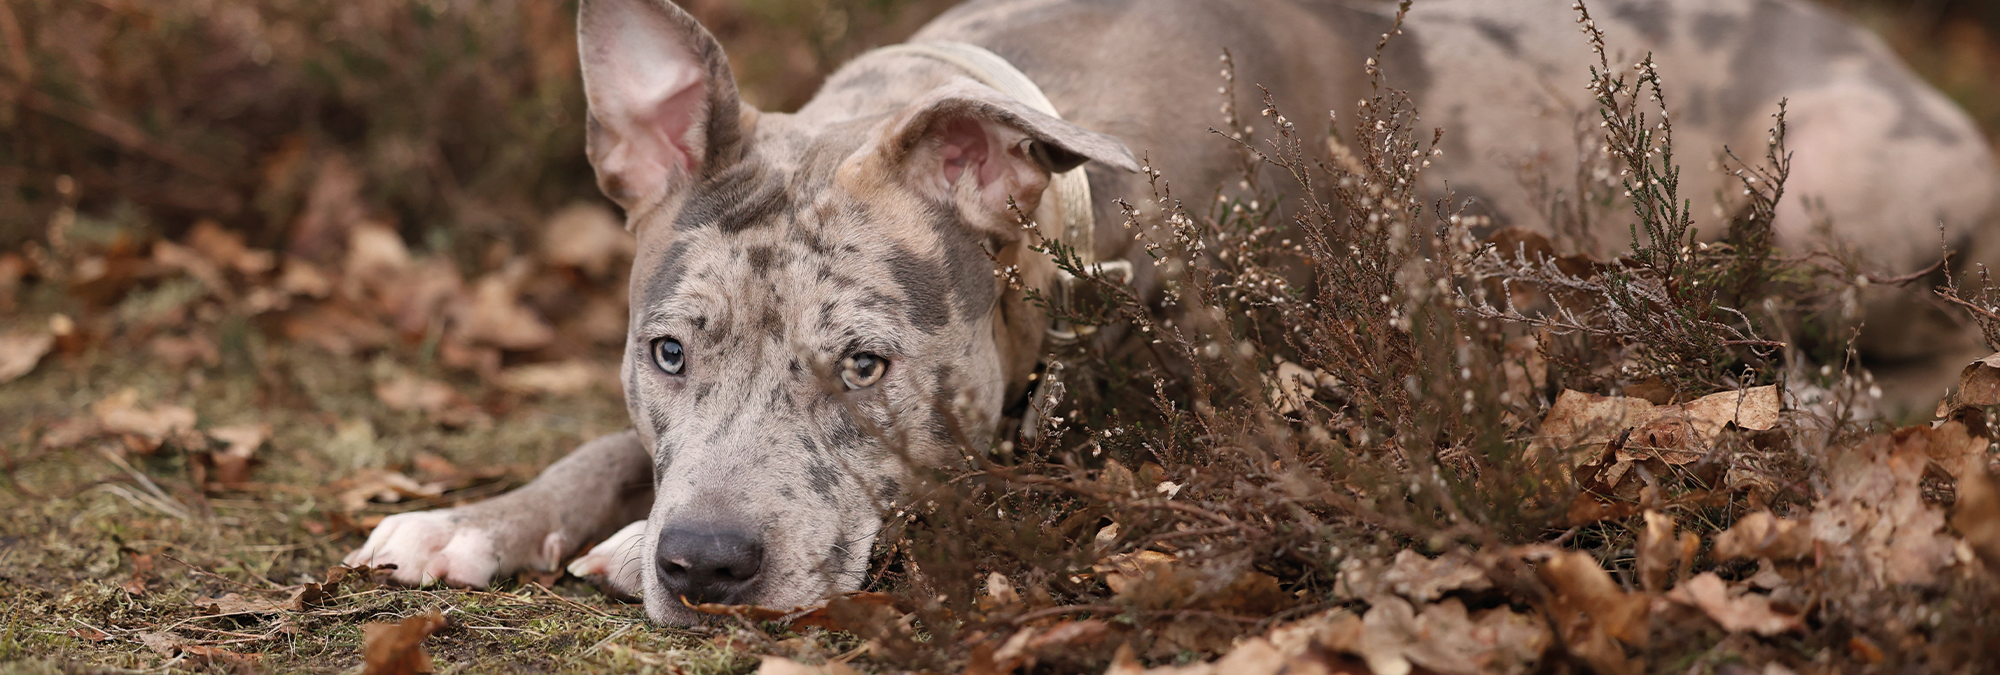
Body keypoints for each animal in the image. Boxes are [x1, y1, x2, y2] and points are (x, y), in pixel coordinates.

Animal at [352, 0, 1992, 623]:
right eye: (667, 348)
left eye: (865, 364)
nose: (704, 563)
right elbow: (609, 444)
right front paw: (485, 519)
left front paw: (625, 543)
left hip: (1833, 210)